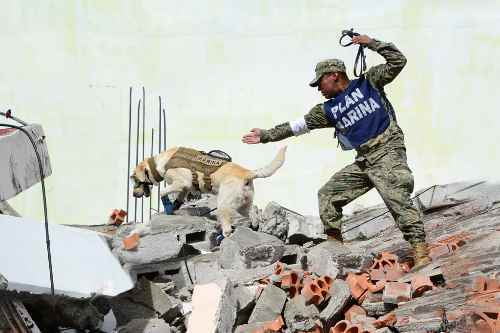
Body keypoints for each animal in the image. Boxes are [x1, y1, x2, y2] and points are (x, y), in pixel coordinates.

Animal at [130, 146, 286, 236]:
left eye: (136, 180)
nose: (133, 195)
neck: (159, 162)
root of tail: (247, 173)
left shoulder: (181, 182)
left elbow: (163, 193)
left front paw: (167, 205)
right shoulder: (185, 187)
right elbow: (179, 198)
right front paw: (173, 208)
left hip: (224, 204)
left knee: (227, 226)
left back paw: (224, 235)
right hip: (243, 205)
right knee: (253, 213)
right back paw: (254, 226)